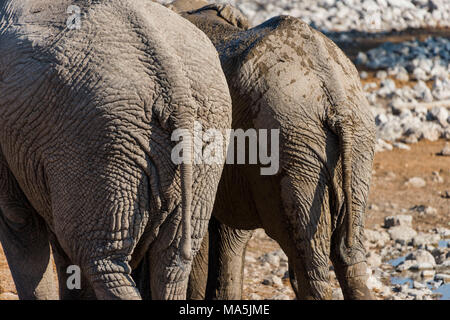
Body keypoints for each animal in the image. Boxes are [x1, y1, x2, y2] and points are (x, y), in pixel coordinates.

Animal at [0, 0, 232, 300]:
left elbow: (17, 218)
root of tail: (174, 87)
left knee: (101, 258)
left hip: (99, 142)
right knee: (171, 262)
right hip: (206, 137)